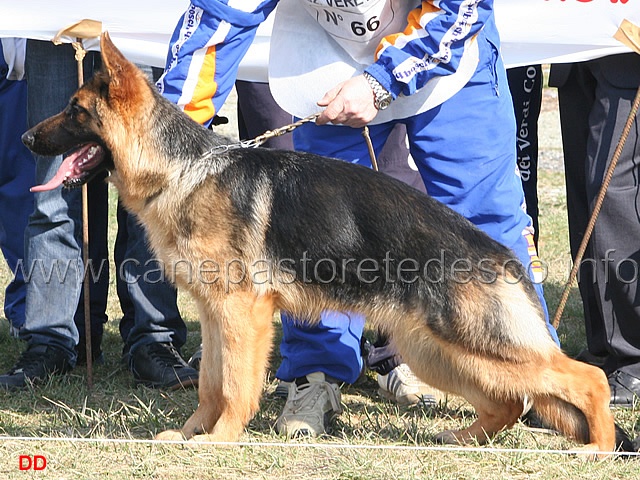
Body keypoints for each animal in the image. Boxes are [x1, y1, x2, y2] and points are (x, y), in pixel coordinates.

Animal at [22, 32, 628, 454]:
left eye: (75, 110)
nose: (26, 138)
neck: (181, 169)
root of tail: (505, 256)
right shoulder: (217, 317)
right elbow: (210, 384)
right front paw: (192, 434)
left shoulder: (243, 315)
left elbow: (235, 386)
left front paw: (221, 441)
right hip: (437, 350)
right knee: (507, 400)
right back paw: (467, 441)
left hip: (476, 342)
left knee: (585, 377)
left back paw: (598, 449)